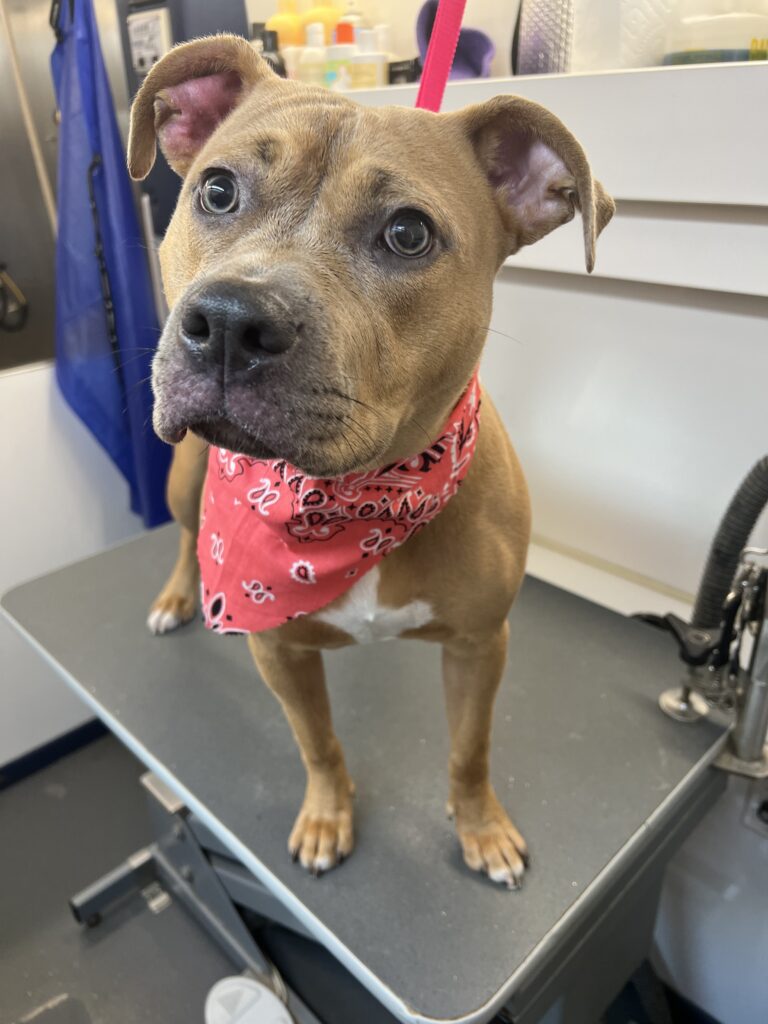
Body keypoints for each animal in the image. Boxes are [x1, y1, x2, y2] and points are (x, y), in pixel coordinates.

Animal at [129, 36, 618, 884]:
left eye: (409, 233)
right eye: (217, 190)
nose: (228, 322)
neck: (346, 501)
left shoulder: (480, 645)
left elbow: (469, 751)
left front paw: (481, 829)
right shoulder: (278, 648)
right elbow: (318, 743)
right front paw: (329, 817)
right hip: (187, 479)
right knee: (190, 536)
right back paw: (177, 596)